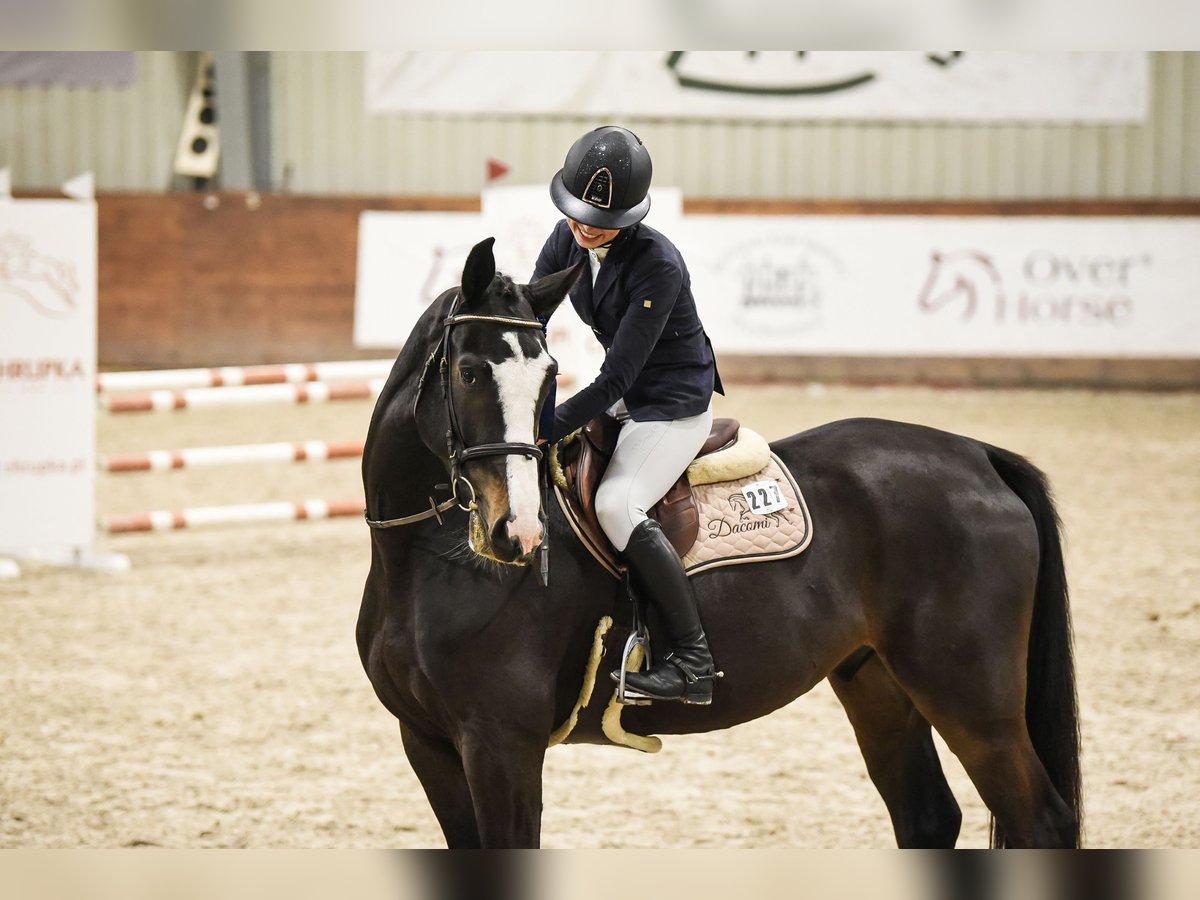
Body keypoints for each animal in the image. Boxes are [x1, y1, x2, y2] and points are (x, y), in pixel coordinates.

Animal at [352, 236, 1080, 849]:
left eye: (550, 375)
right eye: (470, 372)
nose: (519, 533)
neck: (424, 559)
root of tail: (978, 456)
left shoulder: (502, 744)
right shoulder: (427, 743)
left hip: (973, 703)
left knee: (1039, 819)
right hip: (877, 681)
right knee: (927, 816)